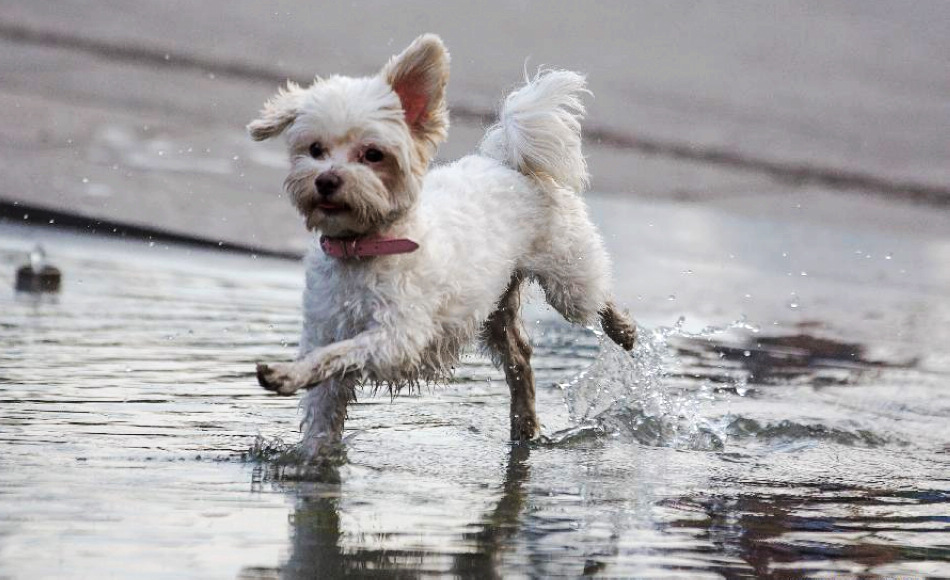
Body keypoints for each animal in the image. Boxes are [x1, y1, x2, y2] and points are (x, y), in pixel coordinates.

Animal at [251, 34, 640, 458]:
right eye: (315, 149)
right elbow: (324, 403)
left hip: (567, 279)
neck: (364, 247)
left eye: (373, 154)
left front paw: (286, 374)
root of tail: (508, 163)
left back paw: (623, 329)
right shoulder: (325, 329)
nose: (326, 180)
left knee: (594, 298)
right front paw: (311, 456)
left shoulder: (397, 336)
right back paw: (524, 425)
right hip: (493, 306)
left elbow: (338, 354)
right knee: (519, 357)